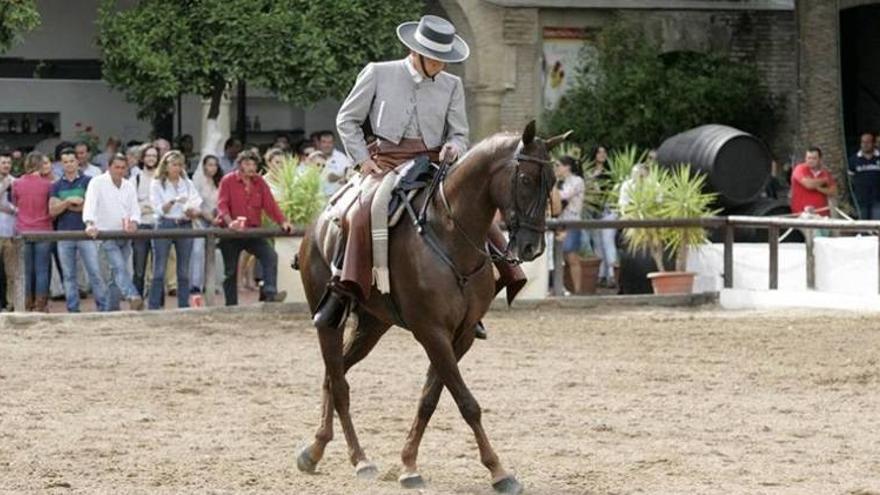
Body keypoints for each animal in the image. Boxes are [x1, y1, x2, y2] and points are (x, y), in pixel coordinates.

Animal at [296, 121, 572, 495]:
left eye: (553, 181)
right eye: (527, 179)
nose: (533, 246)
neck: (450, 237)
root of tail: (320, 222)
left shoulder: (461, 335)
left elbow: (431, 398)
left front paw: (409, 464)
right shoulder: (433, 333)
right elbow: (467, 403)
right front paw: (498, 470)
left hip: (372, 326)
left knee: (334, 374)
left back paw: (316, 449)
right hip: (329, 322)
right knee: (339, 385)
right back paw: (359, 459)